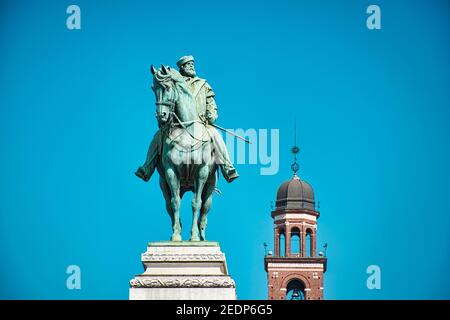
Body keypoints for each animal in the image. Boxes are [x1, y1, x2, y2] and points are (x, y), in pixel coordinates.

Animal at [150, 63, 217, 241]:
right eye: (153, 88)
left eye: (166, 87)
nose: (161, 116)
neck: (187, 130)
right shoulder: (171, 172)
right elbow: (175, 204)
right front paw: (175, 235)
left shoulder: (201, 173)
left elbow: (197, 203)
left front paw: (194, 236)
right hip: (167, 184)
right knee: (170, 205)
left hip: (210, 184)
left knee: (205, 208)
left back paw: (202, 234)